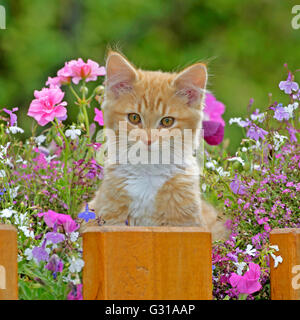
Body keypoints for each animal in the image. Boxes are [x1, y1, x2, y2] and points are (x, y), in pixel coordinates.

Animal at [85, 51, 229, 240]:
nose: (148, 139)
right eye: (134, 118)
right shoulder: (110, 217)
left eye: (167, 121)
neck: (148, 172)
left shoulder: (186, 223)